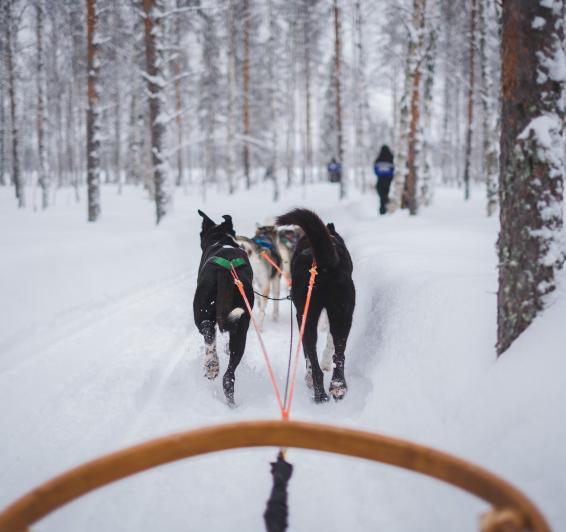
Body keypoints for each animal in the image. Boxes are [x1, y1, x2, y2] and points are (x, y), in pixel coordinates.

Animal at [196, 210, 256, 406]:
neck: (221, 239)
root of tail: (226, 272)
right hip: (241, 326)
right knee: (229, 377)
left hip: (201, 312)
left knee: (208, 331)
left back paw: (211, 366)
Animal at [276, 208, 356, 404]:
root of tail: (323, 263)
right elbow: (330, 345)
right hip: (342, 315)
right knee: (339, 356)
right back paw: (336, 387)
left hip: (307, 317)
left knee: (312, 358)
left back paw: (319, 391)